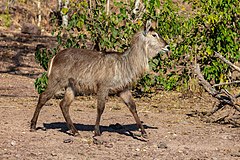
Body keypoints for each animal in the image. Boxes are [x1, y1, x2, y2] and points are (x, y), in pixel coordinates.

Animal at [30, 20, 169, 138]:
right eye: (154, 34)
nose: (167, 46)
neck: (126, 64)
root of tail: (54, 57)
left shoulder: (123, 89)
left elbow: (133, 107)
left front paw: (143, 133)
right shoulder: (103, 87)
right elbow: (100, 108)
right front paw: (96, 131)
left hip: (71, 86)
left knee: (64, 104)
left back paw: (75, 131)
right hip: (56, 81)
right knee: (43, 97)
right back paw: (33, 125)